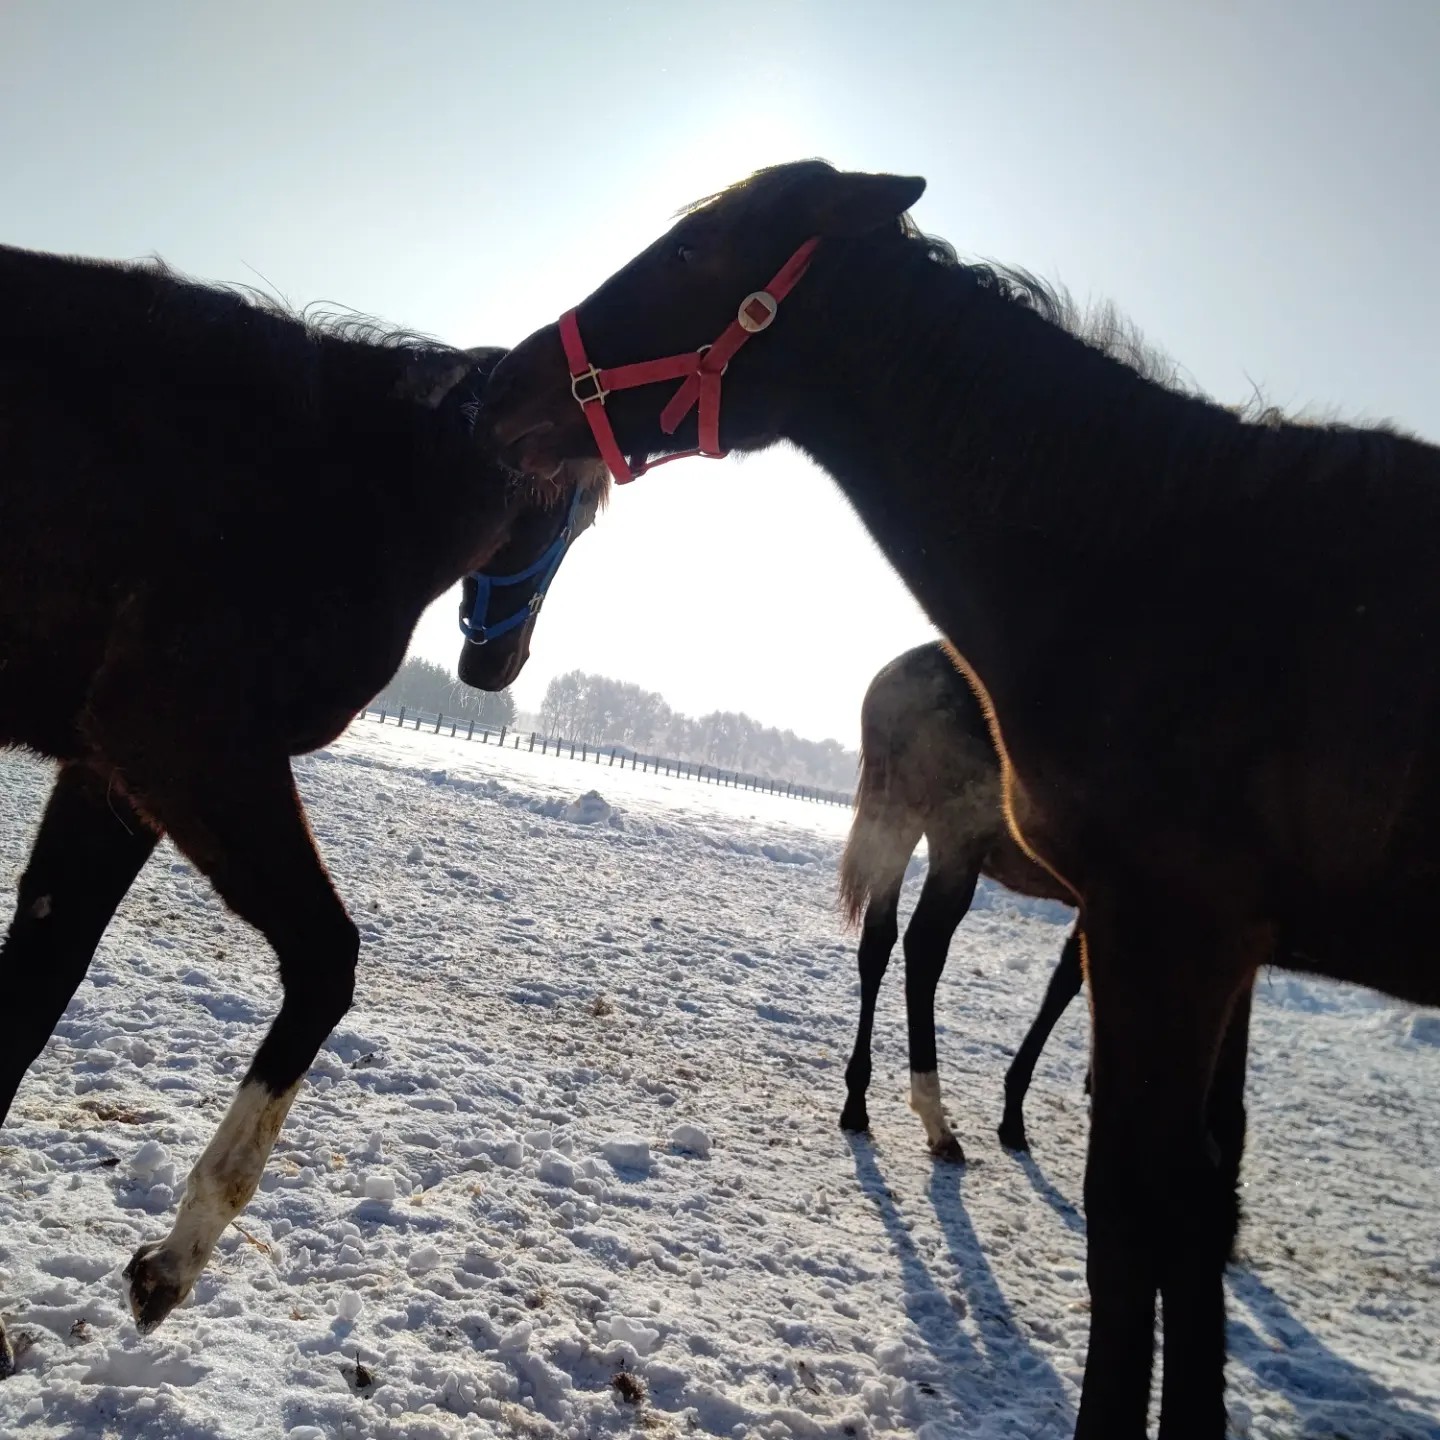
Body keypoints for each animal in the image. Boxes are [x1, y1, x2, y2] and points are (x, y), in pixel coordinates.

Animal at [0, 239, 606, 1375]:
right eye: (581, 512)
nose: (499, 666)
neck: (335, 488)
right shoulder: (184, 741)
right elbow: (326, 960)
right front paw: (170, 1262)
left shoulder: (111, 778)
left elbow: (31, 993)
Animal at [838, 641, 1081, 1159]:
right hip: (955, 843)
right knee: (923, 948)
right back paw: (934, 1116)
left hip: (900, 823)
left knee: (878, 942)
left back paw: (857, 1102)